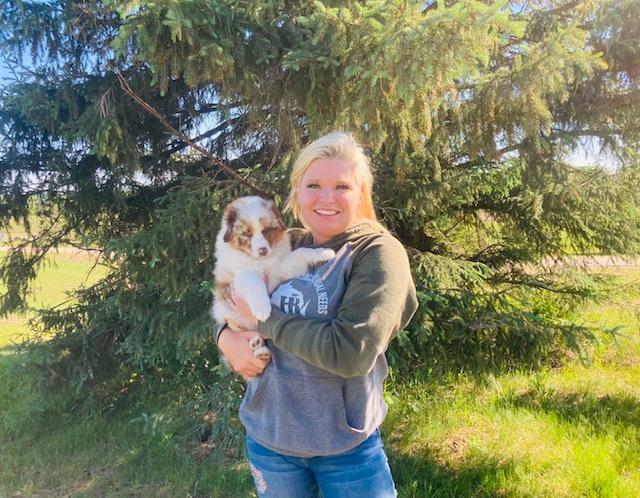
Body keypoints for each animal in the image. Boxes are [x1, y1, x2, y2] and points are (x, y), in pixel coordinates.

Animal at [212, 196, 334, 369]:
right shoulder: (240, 275)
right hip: (230, 318)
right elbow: (253, 282)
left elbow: (300, 252)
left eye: (266, 230)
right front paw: (262, 309)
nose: (263, 250)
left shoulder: (279, 270)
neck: (262, 261)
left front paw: (324, 252)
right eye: (247, 234)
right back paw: (258, 347)